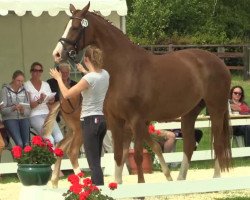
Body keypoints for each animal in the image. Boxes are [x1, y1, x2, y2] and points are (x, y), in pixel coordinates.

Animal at [51, 3, 231, 184]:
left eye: (75, 27)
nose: (57, 54)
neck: (125, 68)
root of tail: (219, 62)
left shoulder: (136, 120)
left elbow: (137, 155)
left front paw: (141, 184)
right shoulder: (117, 121)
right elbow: (119, 156)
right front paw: (118, 183)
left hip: (216, 109)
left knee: (217, 143)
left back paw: (216, 178)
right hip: (189, 112)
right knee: (189, 144)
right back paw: (180, 179)